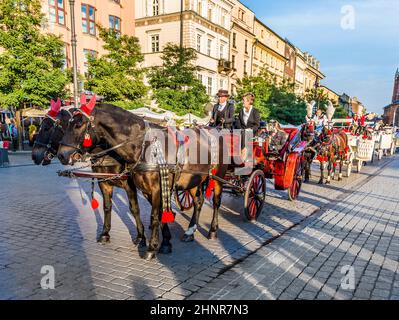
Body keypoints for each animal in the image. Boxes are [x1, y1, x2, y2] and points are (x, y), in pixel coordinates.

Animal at [31, 107, 147, 248]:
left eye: (47, 128)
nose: (34, 155)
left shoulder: (129, 184)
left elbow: (134, 208)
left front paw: (141, 237)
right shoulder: (104, 182)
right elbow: (107, 207)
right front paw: (105, 234)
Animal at [57, 102, 230, 260]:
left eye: (78, 124)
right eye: (63, 125)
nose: (61, 155)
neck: (143, 145)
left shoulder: (152, 188)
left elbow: (151, 215)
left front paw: (151, 247)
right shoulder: (127, 186)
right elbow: (116, 208)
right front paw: (164, 242)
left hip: (217, 177)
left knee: (216, 202)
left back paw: (212, 230)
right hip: (194, 179)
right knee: (198, 202)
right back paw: (190, 231)